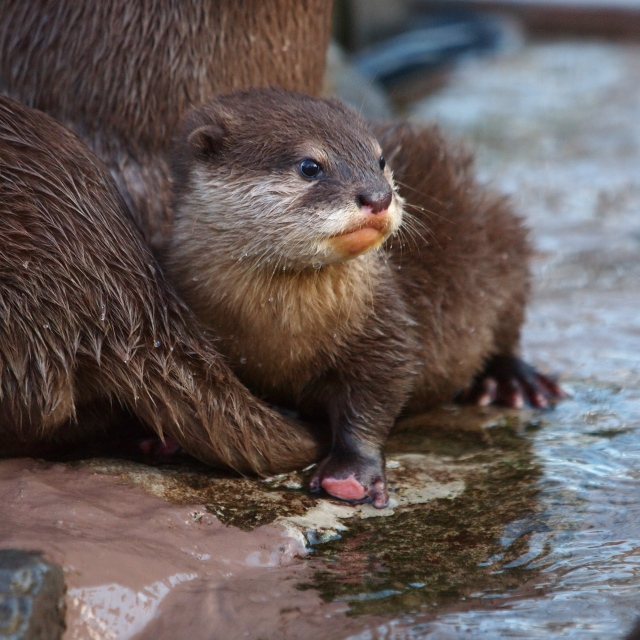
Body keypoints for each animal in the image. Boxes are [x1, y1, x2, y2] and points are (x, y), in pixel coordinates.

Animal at [162, 89, 564, 510]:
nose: (378, 196)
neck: (279, 330)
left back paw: (514, 382)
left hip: (503, 237)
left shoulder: (384, 325)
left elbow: (377, 395)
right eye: (309, 166)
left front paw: (350, 474)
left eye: (380, 160)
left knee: (508, 323)